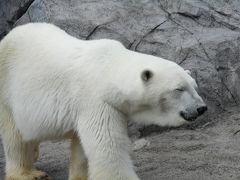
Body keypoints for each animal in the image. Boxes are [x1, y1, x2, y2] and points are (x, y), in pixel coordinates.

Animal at [0, 22, 207, 180]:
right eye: (179, 89)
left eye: (194, 85)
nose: (201, 108)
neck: (108, 68)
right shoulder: (96, 100)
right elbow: (107, 147)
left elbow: (83, 148)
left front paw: (80, 176)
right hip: (8, 91)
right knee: (14, 136)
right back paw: (28, 173)